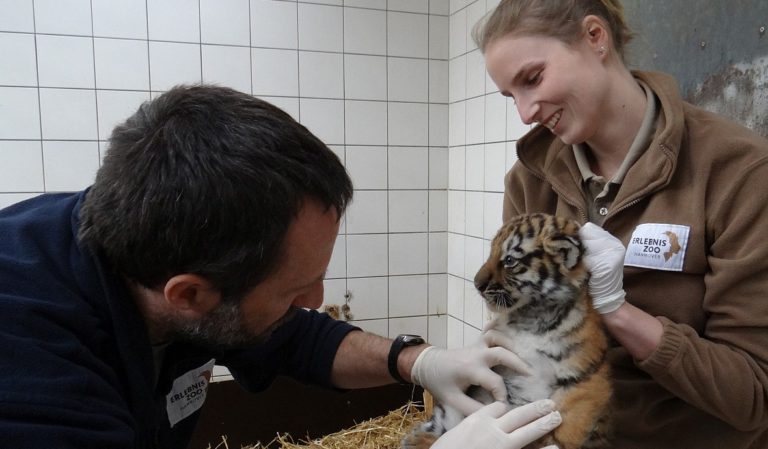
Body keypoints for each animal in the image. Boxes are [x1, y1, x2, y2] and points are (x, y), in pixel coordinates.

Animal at [403, 213, 612, 449]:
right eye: (491, 252)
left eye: (509, 260)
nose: (477, 284)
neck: (532, 315)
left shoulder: (584, 376)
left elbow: (571, 424)